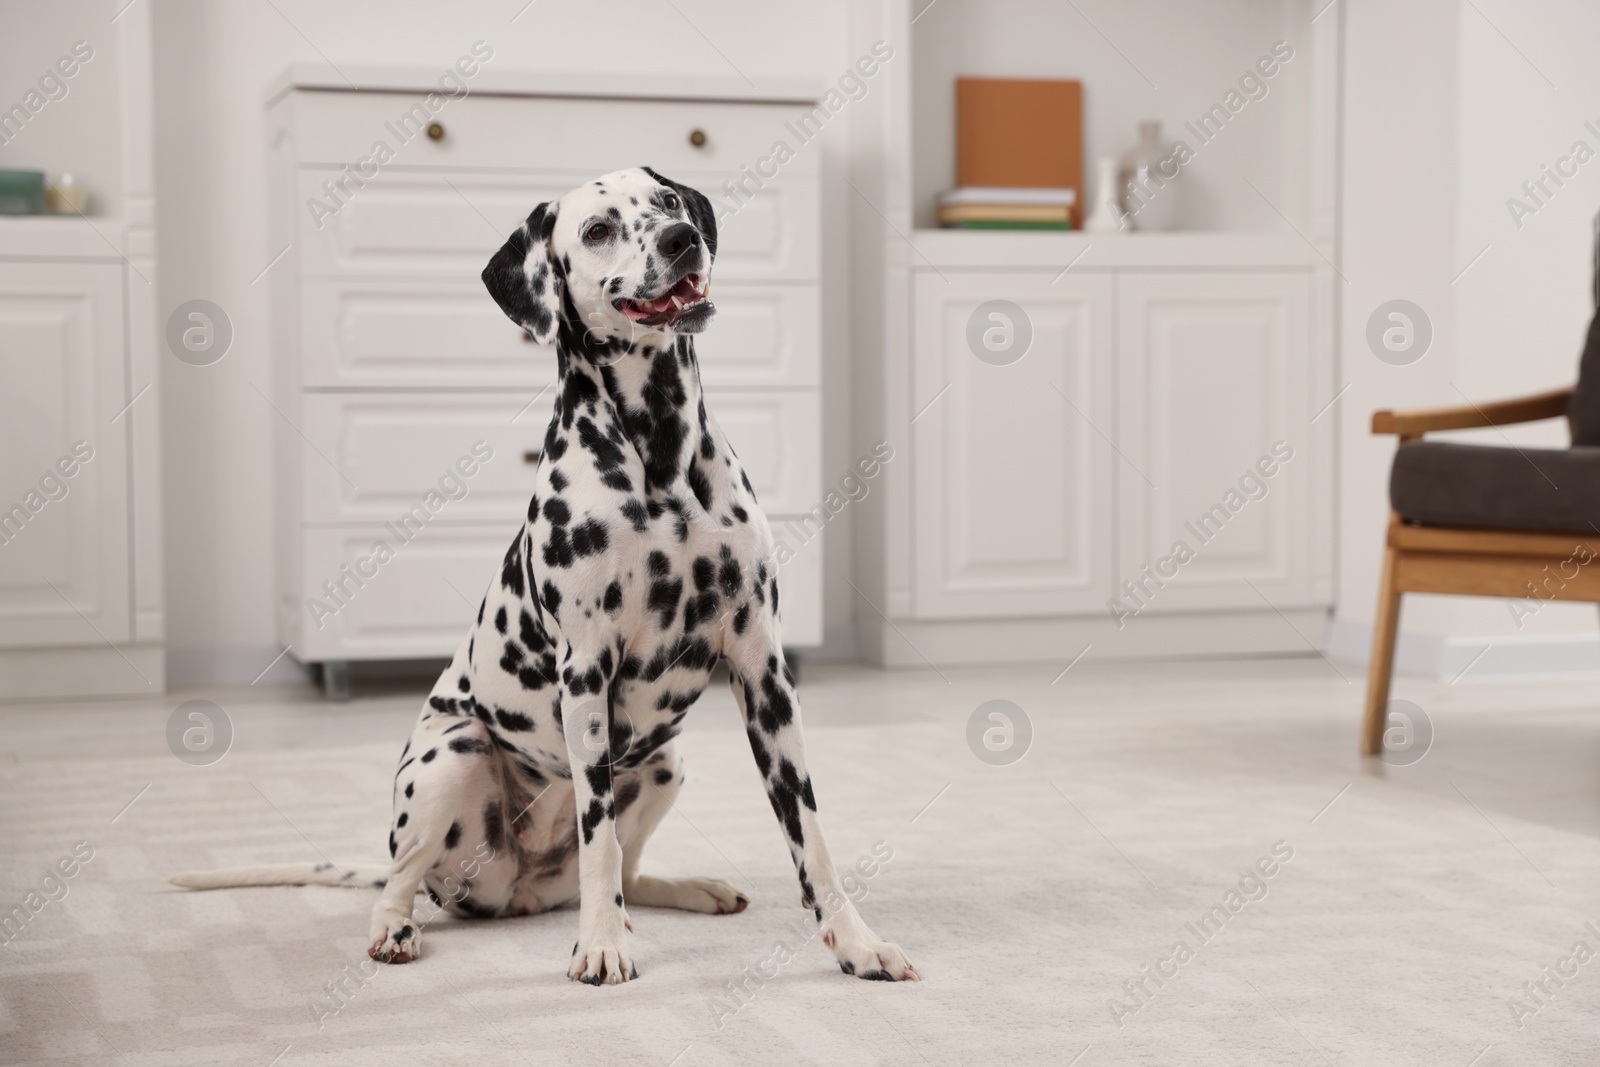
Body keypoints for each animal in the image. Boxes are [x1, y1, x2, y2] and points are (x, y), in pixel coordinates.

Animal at [172, 164, 915, 985]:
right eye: (597, 230)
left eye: (669, 203)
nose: (682, 239)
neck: (659, 453)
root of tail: (520, 894)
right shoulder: (586, 672)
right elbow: (598, 835)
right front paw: (602, 943)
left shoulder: (764, 672)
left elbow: (809, 836)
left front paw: (856, 942)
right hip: (453, 756)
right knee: (406, 877)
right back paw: (399, 926)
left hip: (665, 761)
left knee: (631, 870)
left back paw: (691, 888)